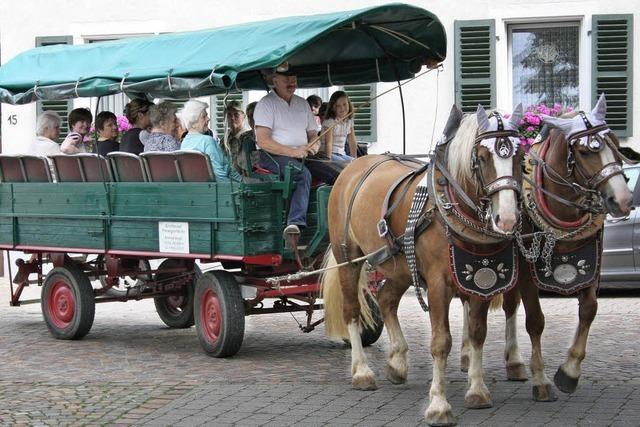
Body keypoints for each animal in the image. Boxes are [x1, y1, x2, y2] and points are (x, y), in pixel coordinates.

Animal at [320, 104, 524, 427]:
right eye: (481, 157)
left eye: (520, 155)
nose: (506, 219)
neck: (449, 209)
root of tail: (354, 166)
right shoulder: (439, 284)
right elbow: (441, 342)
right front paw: (439, 405)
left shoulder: (480, 280)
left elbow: (477, 334)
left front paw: (477, 391)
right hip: (348, 259)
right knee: (351, 310)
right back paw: (362, 372)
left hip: (400, 267)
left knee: (386, 300)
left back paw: (397, 362)